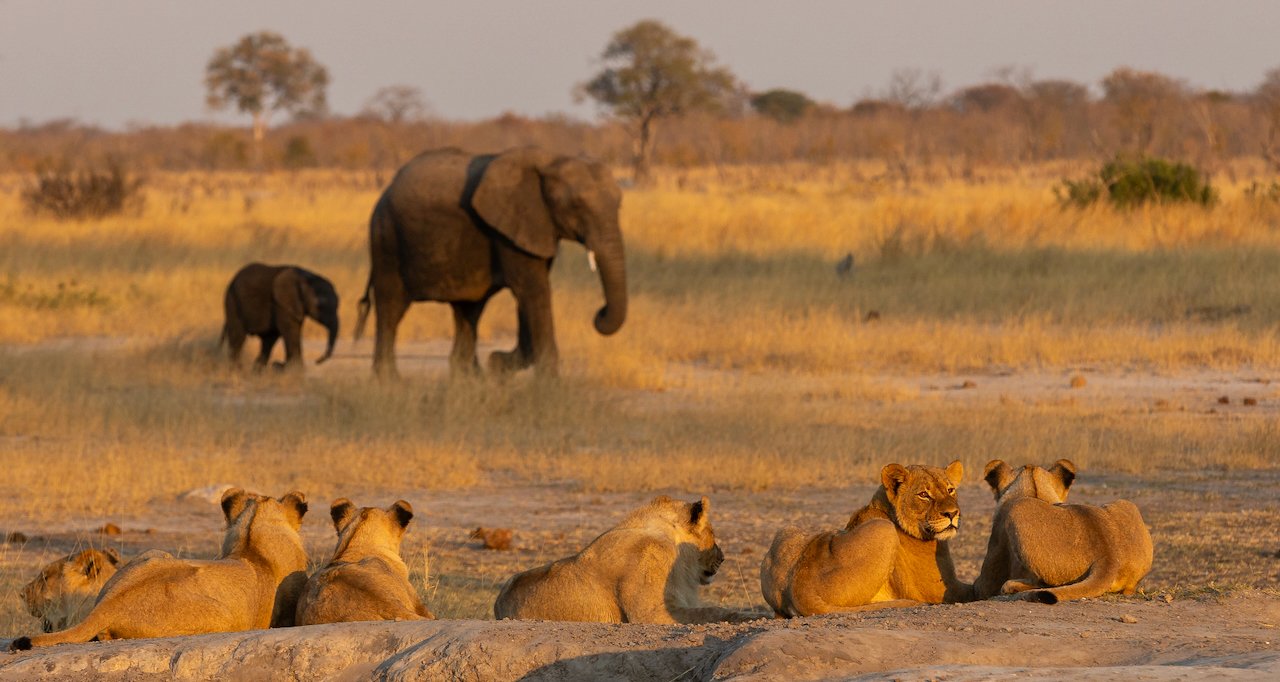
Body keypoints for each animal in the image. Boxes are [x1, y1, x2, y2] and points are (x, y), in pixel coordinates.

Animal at [760, 460, 970, 617]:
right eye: (924, 495)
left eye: (950, 490)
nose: (952, 513)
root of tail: (800, 589)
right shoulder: (938, 591)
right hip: (883, 529)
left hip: (787, 529)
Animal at [973, 459, 1153, 604]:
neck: (1034, 489)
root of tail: (1108, 557)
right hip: (1126, 503)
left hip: (1018, 509)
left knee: (1046, 585)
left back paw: (1011, 586)